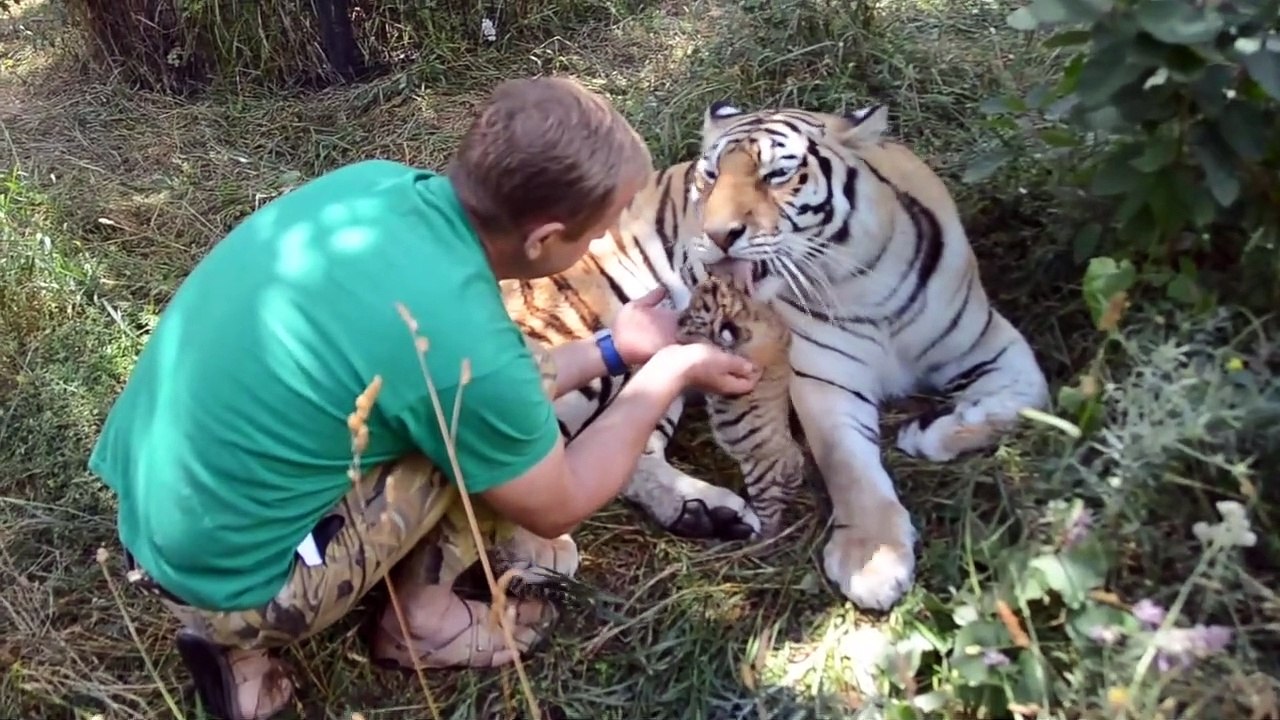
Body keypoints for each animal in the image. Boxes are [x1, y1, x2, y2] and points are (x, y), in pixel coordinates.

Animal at [674, 272, 807, 540]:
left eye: (694, 310)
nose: (676, 320)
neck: (742, 310)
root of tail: (796, 464)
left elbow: (711, 342)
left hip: (762, 483)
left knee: (771, 524)